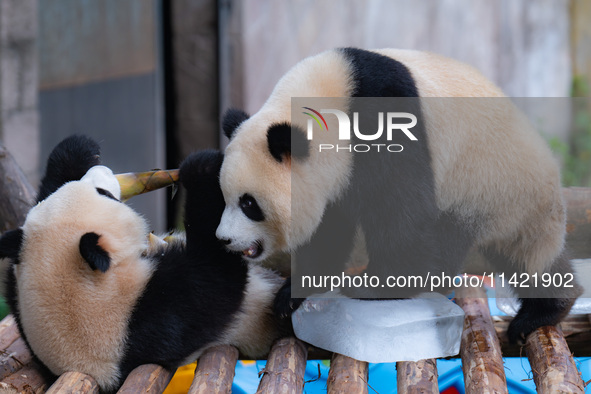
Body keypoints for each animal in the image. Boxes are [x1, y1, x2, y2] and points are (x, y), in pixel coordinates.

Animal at [0, 135, 286, 390]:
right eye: (104, 194)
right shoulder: (159, 317)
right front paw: (201, 168)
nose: (102, 170)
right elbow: (216, 277)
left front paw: (79, 150)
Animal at [216, 47, 584, 344]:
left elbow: (400, 213)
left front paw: (372, 285)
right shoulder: (335, 177)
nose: (223, 239)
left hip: (492, 184)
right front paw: (292, 294)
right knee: (520, 255)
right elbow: (329, 230)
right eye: (226, 197)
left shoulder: (384, 120)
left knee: (480, 242)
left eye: (249, 204)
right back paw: (555, 302)